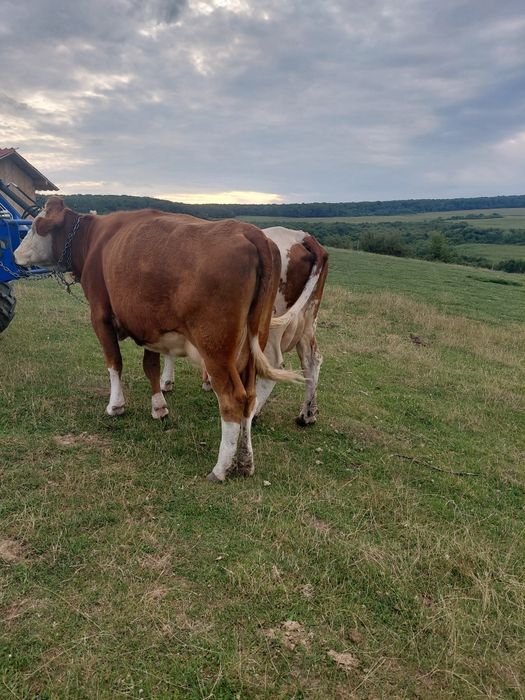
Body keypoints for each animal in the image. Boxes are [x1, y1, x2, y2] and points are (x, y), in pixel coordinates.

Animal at [14, 197, 300, 481]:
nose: (15, 254)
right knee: (250, 399)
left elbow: (114, 363)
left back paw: (220, 468)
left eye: (36, 225)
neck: (94, 239)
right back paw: (245, 462)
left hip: (216, 350)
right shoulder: (148, 325)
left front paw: (116, 406)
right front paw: (159, 406)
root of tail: (251, 232)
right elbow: (150, 366)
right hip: (253, 345)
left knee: (233, 399)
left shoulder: (100, 315)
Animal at [161, 226, 328, 425]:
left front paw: (166, 382)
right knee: (312, 359)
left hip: (270, 323)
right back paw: (307, 414)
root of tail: (301, 236)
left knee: (274, 363)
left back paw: (254, 412)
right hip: (308, 320)